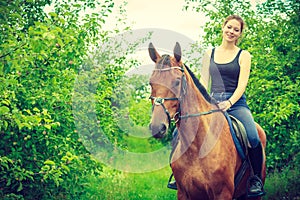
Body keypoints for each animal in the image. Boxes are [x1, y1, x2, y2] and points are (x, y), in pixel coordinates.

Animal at [148, 41, 268, 199]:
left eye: (177, 82)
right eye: (151, 83)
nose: (157, 128)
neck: (197, 148)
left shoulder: (222, 193)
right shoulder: (183, 193)